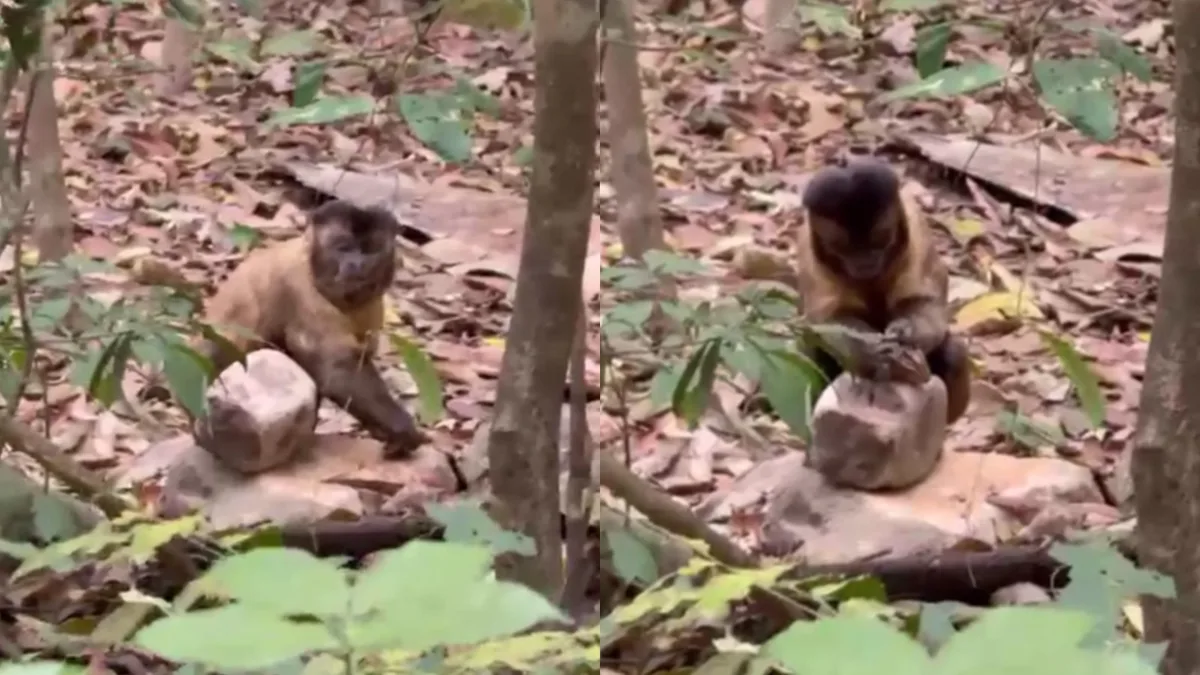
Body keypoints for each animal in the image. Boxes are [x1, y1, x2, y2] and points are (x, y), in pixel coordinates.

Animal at [194, 200, 429, 458]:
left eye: (369, 251)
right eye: (344, 248)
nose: (357, 264)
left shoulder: (374, 306)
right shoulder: (302, 289)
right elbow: (336, 372)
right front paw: (401, 429)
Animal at [795, 156, 971, 424]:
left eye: (881, 238)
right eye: (841, 247)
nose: (864, 261)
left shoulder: (918, 232)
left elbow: (925, 302)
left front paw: (904, 333)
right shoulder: (808, 252)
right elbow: (829, 320)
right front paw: (874, 351)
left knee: (955, 355)